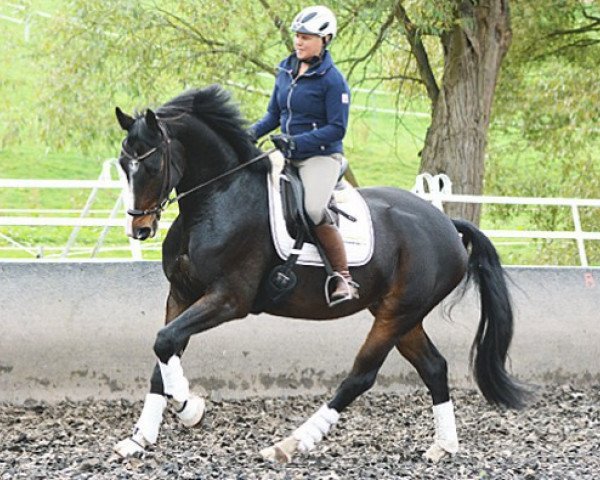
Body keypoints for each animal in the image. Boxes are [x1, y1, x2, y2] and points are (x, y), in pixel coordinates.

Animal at [111, 85, 524, 462]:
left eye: (151, 166)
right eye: (122, 165)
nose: (139, 229)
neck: (219, 198)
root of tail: (446, 224)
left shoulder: (228, 299)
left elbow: (165, 342)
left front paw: (190, 409)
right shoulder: (181, 294)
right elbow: (163, 352)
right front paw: (140, 438)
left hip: (399, 313)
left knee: (360, 377)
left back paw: (290, 444)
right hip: (400, 314)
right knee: (435, 367)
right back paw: (443, 446)